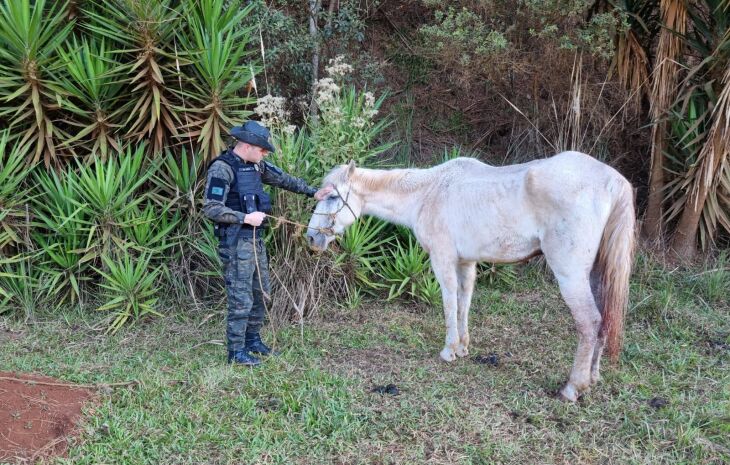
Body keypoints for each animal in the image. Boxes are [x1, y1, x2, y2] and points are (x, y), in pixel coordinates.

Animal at [304, 151, 636, 398]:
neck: (429, 192)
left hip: (570, 275)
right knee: (604, 319)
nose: (311, 238)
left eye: (332, 197)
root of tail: (613, 181)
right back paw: (592, 378)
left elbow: (450, 300)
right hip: (596, 275)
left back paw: (573, 387)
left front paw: (448, 350)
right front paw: (463, 347)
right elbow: (464, 301)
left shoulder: (443, 259)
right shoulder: (466, 262)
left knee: (589, 323)